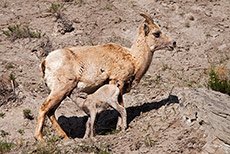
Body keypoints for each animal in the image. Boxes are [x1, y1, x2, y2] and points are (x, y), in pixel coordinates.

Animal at [33, 12, 176, 141]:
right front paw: (120, 128)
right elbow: (121, 106)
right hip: (60, 90)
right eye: (156, 33)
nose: (173, 43)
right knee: (44, 108)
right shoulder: (117, 82)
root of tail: (45, 62)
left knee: (51, 112)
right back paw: (40, 138)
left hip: (62, 93)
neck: (133, 58)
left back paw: (66, 138)